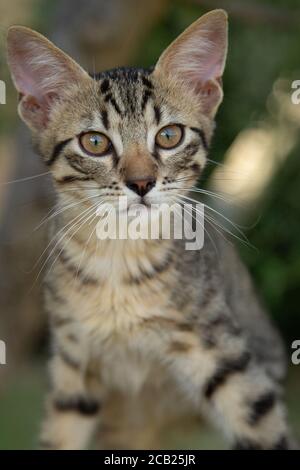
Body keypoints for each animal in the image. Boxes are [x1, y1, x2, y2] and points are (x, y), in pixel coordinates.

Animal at [6, 8, 292, 448]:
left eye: (169, 136)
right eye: (94, 142)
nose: (141, 183)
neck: (119, 257)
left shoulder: (225, 356)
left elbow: (265, 429)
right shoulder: (73, 366)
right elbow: (60, 435)